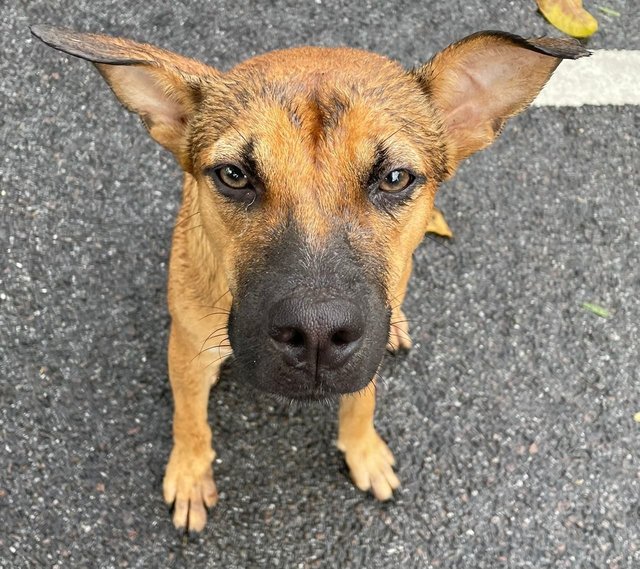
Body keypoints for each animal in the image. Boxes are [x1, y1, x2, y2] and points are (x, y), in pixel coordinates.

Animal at [32, 24, 588, 532]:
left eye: (395, 178)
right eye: (234, 175)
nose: (317, 334)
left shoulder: (365, 350)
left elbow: (362, 400)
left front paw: (363, 450)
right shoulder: (188, 350)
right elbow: (189, 421)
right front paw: (190, 474)